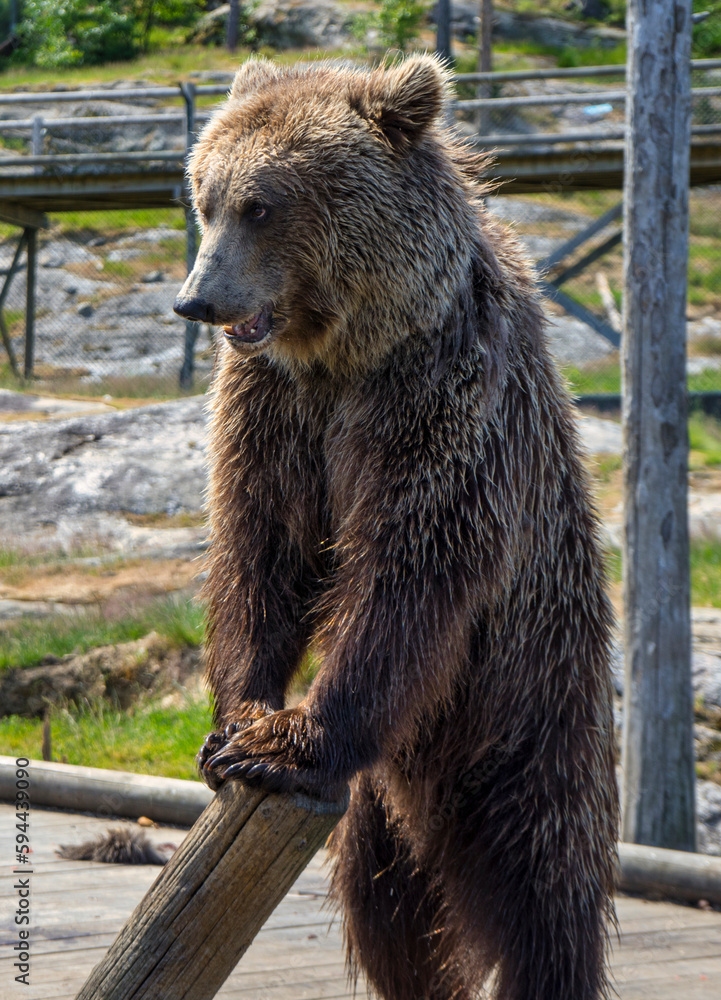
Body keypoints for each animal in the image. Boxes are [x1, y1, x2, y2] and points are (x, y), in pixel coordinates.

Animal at [173, 54, 618, 1000]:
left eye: (261, 204)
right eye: (204, 195)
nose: (198, 300)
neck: (347, 350)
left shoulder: (437, 401)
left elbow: (409, 568)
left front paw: (289, 738)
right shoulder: (275, 410)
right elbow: (258, 549)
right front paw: (237, 722)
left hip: (530, 707)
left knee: (544, 890)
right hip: (380, 804)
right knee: (389, 907)